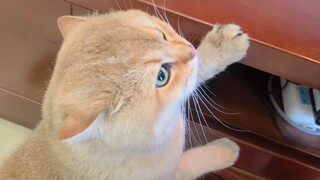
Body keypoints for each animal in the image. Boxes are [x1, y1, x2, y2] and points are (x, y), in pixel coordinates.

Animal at [0, 10, 249, 180]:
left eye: (162, 34)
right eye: (161, 76)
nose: (190, 50)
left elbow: (199, 69)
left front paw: (223, 46)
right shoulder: (172, 172)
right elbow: (190, 162)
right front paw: (227, 150)